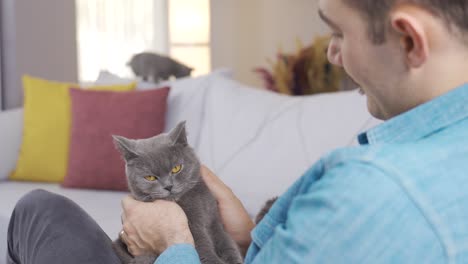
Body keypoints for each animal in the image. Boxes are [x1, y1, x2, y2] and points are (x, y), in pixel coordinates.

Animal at [109, 121, 241, 264]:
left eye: (176, 168)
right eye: (150, 177)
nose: (168, 186)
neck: (195, 200)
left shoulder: (214, 219)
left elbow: (225, 241)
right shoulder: (194, 230)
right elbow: (203, 247)